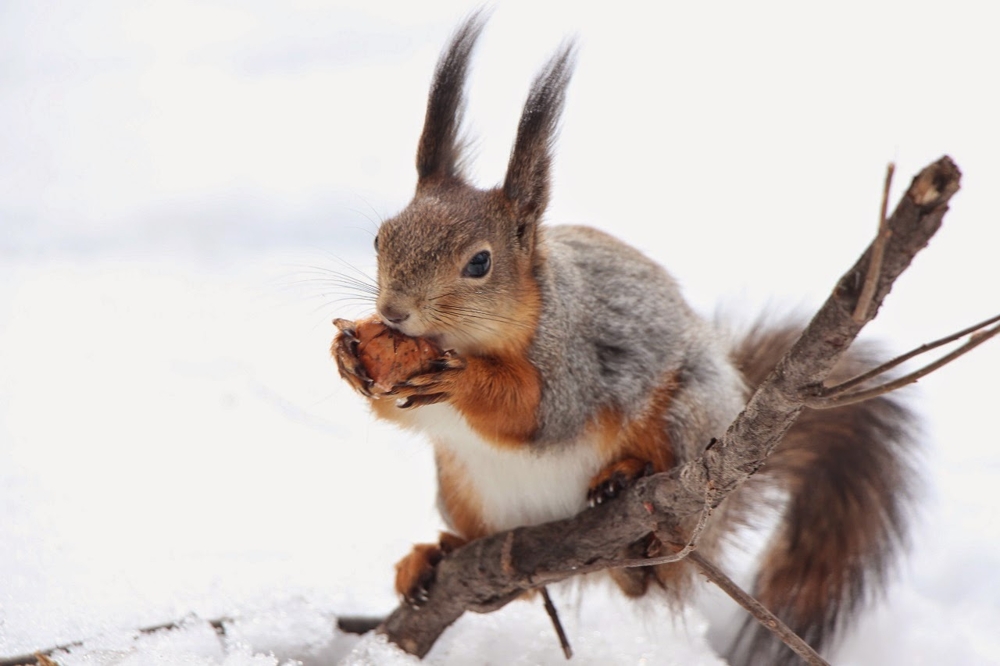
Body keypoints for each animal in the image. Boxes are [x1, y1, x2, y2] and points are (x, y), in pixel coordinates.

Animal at [332, 15, 916, 664]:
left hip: (688, 417)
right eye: (381, 238)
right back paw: (435, 556)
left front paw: (464, 378)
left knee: (653, 571)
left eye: (479, 263)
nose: (394, 311)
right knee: (519, 586)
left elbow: (542, 411)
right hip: (464, 491)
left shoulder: (574, 357)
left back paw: (630, 498)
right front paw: (349, 358)